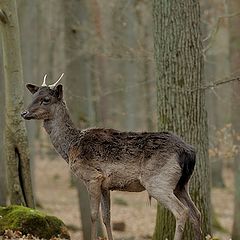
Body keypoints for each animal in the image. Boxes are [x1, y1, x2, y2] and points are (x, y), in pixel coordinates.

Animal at [21, 73, 202, 240]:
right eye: (34, 96)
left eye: (46, 99)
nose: (24, 112)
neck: (71, 147)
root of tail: (189, 152)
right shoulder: (105, 184)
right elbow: (107, 216)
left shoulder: (92, 177)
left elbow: (93, 215)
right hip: (181, 184)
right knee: (196, 213)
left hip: (158, 181)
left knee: (182, 211)